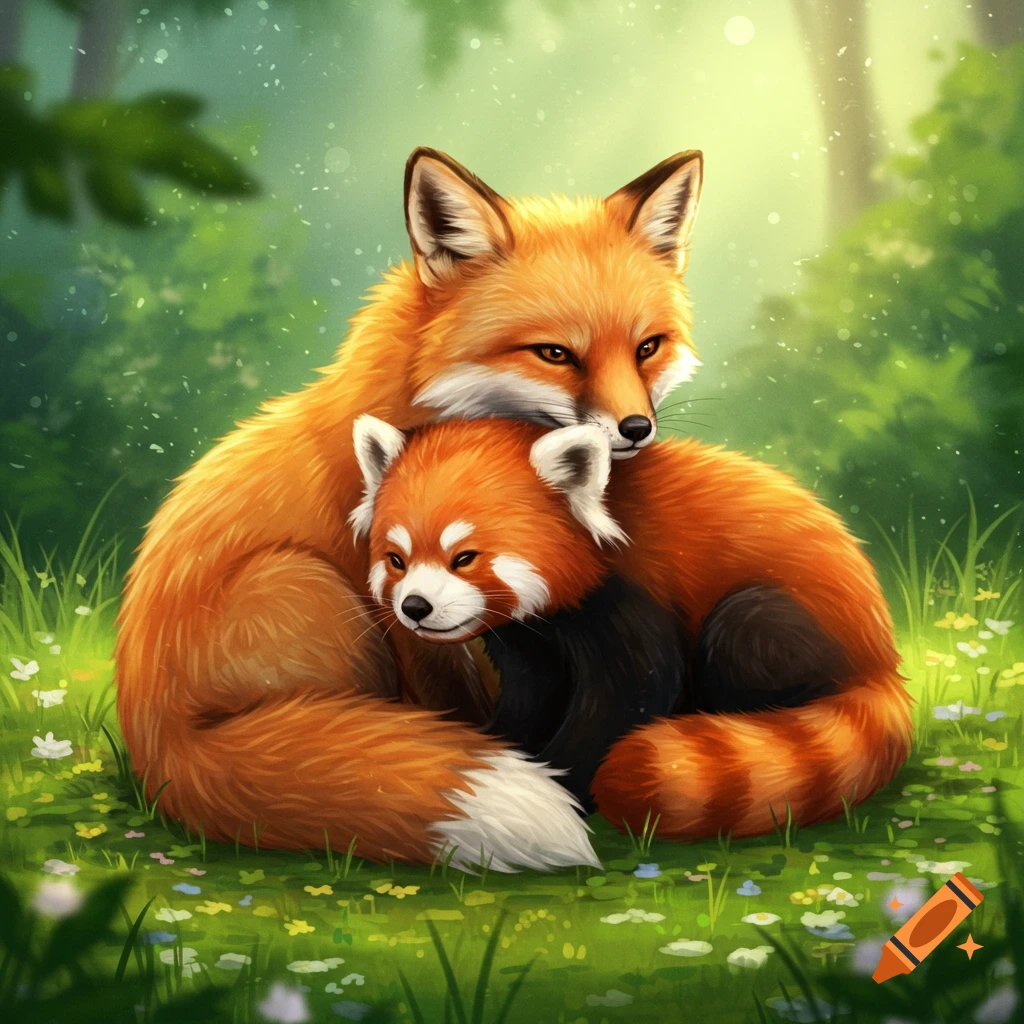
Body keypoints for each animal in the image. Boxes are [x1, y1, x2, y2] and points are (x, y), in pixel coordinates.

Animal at [114, 145, 706, 871]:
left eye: (648, 347)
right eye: (555, 353)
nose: (635, 429)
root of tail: (161, 750)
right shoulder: (399, 603)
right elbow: (455, 699)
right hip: (309, 586)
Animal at [354, 414, 914, 841]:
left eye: (464, 557)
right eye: (397, 560)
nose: (415, 607)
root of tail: (882, 661)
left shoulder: (630, 599)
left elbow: (628, 696)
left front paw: (556, 787)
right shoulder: (533, 639)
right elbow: (532, 694)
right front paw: (499, 750)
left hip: (781, 625)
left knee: (744, 630)